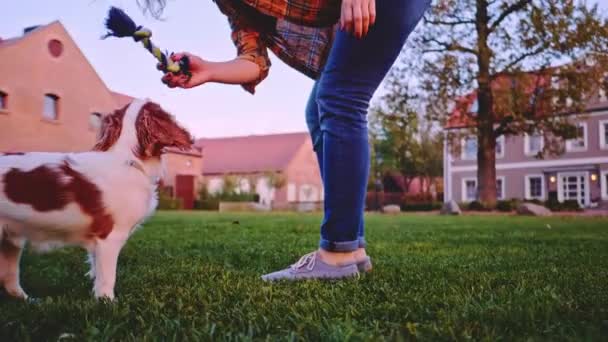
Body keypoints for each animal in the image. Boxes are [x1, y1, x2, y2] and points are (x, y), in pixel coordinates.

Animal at [0, 98, 192, 300]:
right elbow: (107, 278)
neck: (126, 158)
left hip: (11, 241)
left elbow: (96, 270)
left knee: (10, 279)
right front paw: (107, 302)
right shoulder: (110, 237)